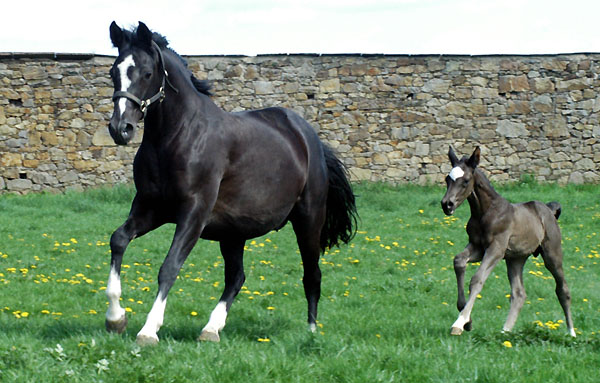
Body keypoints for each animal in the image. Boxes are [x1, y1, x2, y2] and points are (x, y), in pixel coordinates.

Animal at [104, 20, 356, 344]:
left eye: (147, 73)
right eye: (114, 72)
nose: (120, 129)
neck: (176, 137)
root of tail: (308, 137)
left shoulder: (194, 213)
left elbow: (169, 267)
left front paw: (148, 331)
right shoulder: (150, 208)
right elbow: (118, 239)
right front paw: (115, 319)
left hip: (309, 219)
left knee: (312, 273)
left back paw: (311, 332)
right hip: (234, 232)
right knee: (236, 277)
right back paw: (211, 329)